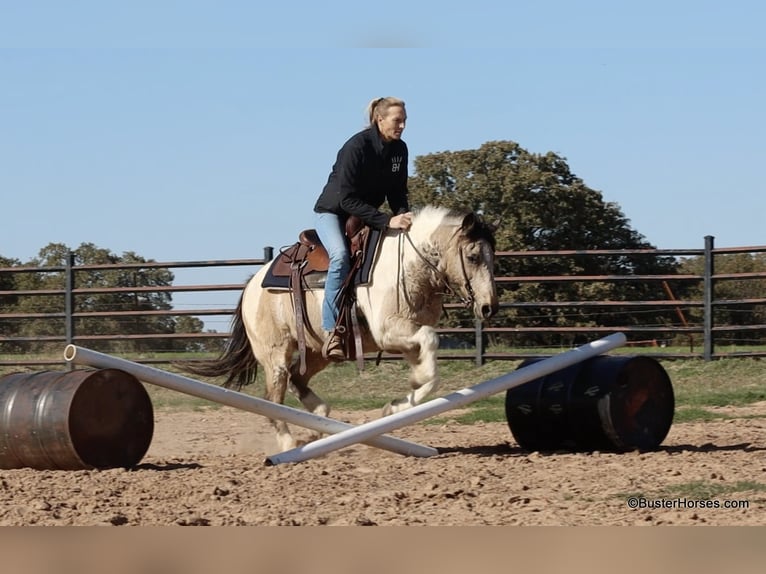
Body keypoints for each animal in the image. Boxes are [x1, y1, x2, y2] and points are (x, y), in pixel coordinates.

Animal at [181, 205, 499, 452]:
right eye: (472, 256)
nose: (488, 308)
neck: (409, 264)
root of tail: (252, 284)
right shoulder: (389, 331)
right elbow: (431, 342)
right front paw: (410, 388)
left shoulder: (409, 337)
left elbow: (430, 374)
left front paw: (396, 405)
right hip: (274, 355)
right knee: (274, 397)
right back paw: (288, 443)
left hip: (319, 350)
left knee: (298, 379)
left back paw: (318, 424)